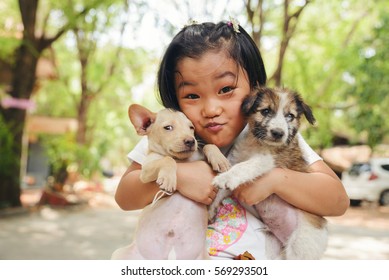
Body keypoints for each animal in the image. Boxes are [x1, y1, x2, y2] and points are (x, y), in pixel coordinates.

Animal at [110, 104, 229, 260]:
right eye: (168, 128)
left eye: (191, 128)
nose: (191, 141)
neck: (181, 160)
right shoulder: (145, 171)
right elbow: (167, 159)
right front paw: (168, 178)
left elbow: (208, 146)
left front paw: (219, 159)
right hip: (119, 253)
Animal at [211, 87, 326, 260]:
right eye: (265, 111)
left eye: (290, 116)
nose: (278, 133)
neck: (257, 144)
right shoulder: (235, 158)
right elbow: (222, 190)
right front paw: (211, 208)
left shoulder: (266, 161)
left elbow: (243, 167)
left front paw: (225, 177)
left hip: (300, 247)